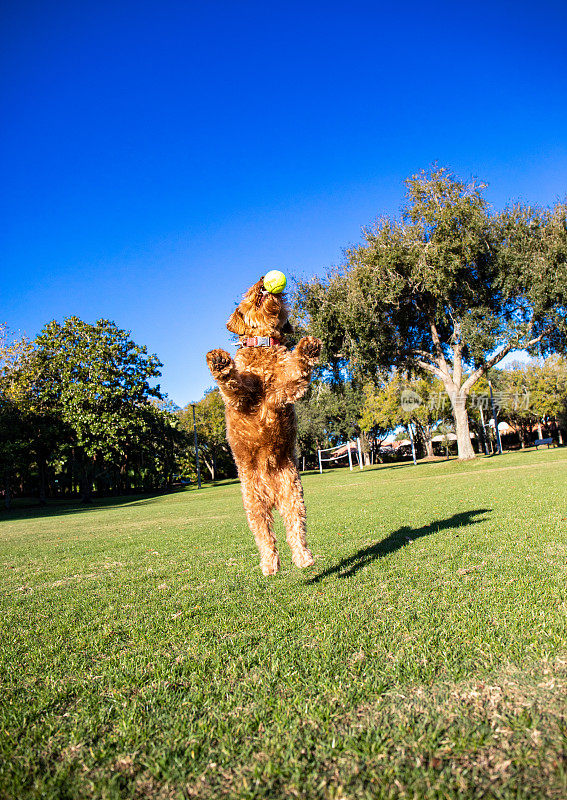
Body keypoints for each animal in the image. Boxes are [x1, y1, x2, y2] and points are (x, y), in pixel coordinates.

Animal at [206, 280, 322, 576]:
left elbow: (295, 371)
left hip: (293, 497)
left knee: (295, 531)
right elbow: (233, 381)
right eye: (248, 294)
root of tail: (271, 494)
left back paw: (303, 558)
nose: (262, 281)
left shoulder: (285, 388)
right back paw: (270, 565)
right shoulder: (242, 397)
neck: (263, 344)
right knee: (266, 538)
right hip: (254, 504)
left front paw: (308, 348)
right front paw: (220, 361)